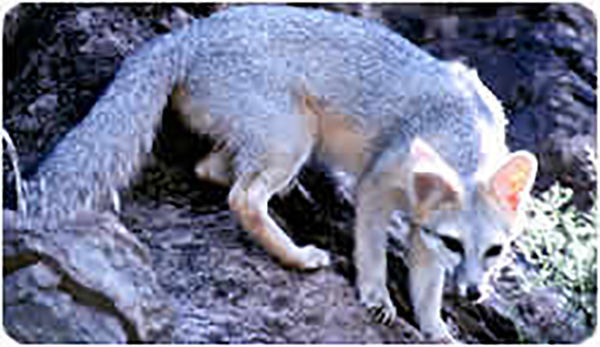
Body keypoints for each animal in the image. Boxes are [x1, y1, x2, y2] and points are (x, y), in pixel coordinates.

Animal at [17, 4, 540, 342]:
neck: (460, 127)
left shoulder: (422, 231)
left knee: (212, 170)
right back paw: (297, 256)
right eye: (455, 243)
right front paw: (377, 298)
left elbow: (427, 288)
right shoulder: (376, 188)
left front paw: (435, 329)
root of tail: (192, 33)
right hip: (293, 140)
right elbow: (372, 252)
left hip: (274, 142)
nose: (473, 292)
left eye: (494, 251)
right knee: (243, 198)